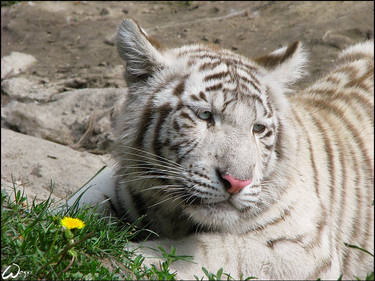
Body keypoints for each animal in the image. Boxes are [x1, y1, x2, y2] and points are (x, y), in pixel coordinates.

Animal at [66, 18, 374, 278]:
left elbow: (217, 248)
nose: (236, 183)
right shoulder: (116, 183)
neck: (173, 214)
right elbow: (73, 205)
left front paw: (129, 254)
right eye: (205, 116)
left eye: (258, 128)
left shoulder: (305, 250)